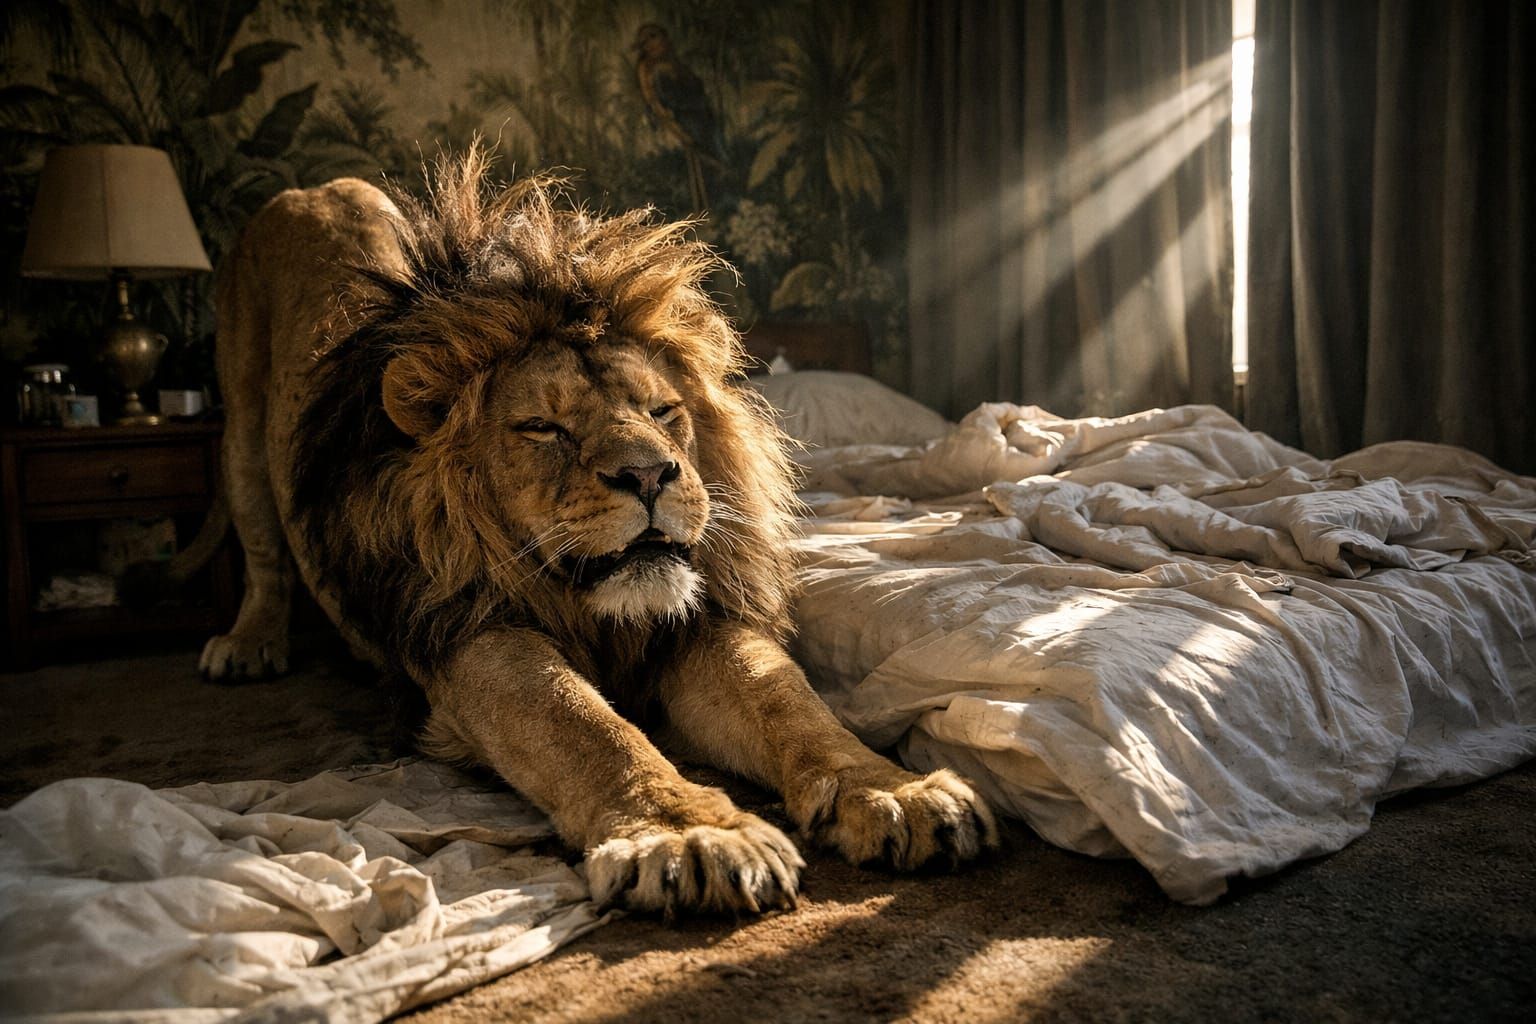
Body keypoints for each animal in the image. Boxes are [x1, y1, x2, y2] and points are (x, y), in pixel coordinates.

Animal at [199, 149, 998, 916]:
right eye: (543, 427)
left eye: (663, 410)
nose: (649, 476)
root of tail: (317, 188)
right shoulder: (466, 628)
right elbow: (578, 722)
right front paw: (689, 833)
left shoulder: (694, 624)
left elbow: (792, 704)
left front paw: (898, 791)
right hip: (240, 439)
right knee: (263, 554)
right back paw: (246, 647)